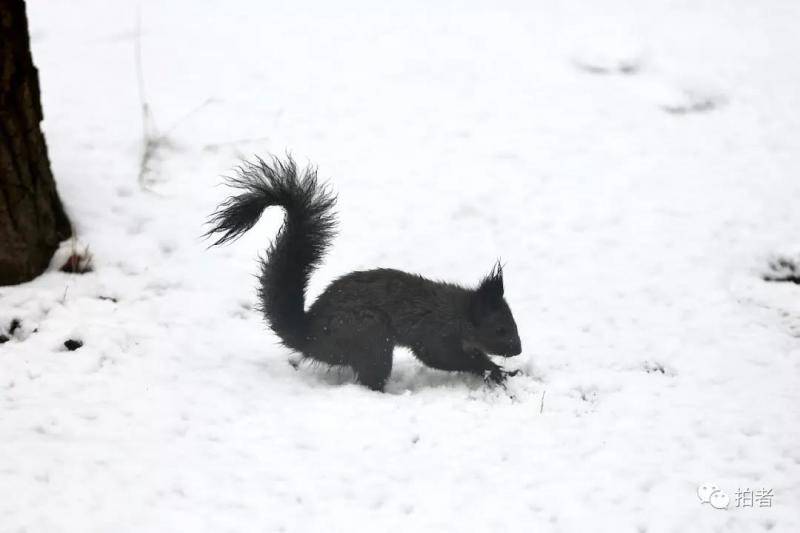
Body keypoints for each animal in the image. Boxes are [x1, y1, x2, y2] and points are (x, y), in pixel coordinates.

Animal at [203, 156, 520, 388]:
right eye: (500, 329)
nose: (518, 350)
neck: (460, 312)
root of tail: (310, 337)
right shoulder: (435, 334)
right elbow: (443, 358)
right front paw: (492, 370)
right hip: (371, 338)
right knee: (370, 378)